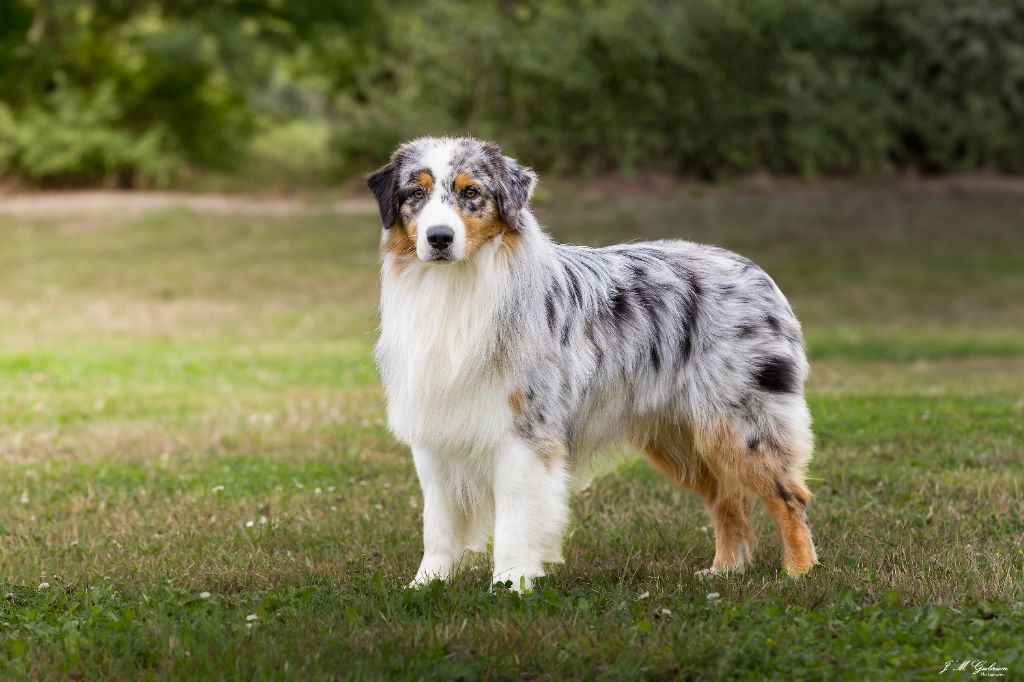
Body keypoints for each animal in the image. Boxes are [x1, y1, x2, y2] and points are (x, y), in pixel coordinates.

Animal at [366, 135, 815, 585]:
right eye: (416, 194)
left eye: (471, 192)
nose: (439, 237)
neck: (456, 288)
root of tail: (753, 269)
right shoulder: (436, 431)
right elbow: (438, 523)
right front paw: (427, 584)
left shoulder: (526, 431)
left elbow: (515, 519)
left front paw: (510, 583)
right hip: (681, 436)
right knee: (727, 496)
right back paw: (724, 571)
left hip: (738, 423)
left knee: (789, 494)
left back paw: (799, 574)